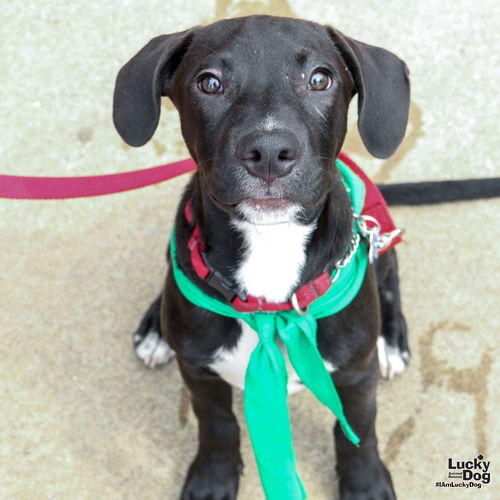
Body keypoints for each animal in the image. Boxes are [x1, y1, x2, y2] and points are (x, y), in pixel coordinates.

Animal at [115, 15, 412, 500]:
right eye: (209, 83)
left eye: (320, 79)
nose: (270, 152)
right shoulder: (200, 373)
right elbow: (217, 425)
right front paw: (212, 477)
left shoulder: (354, 375)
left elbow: (358, 430)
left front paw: (365, 483)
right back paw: (155, 330)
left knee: (390, 278)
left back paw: (391, 341)